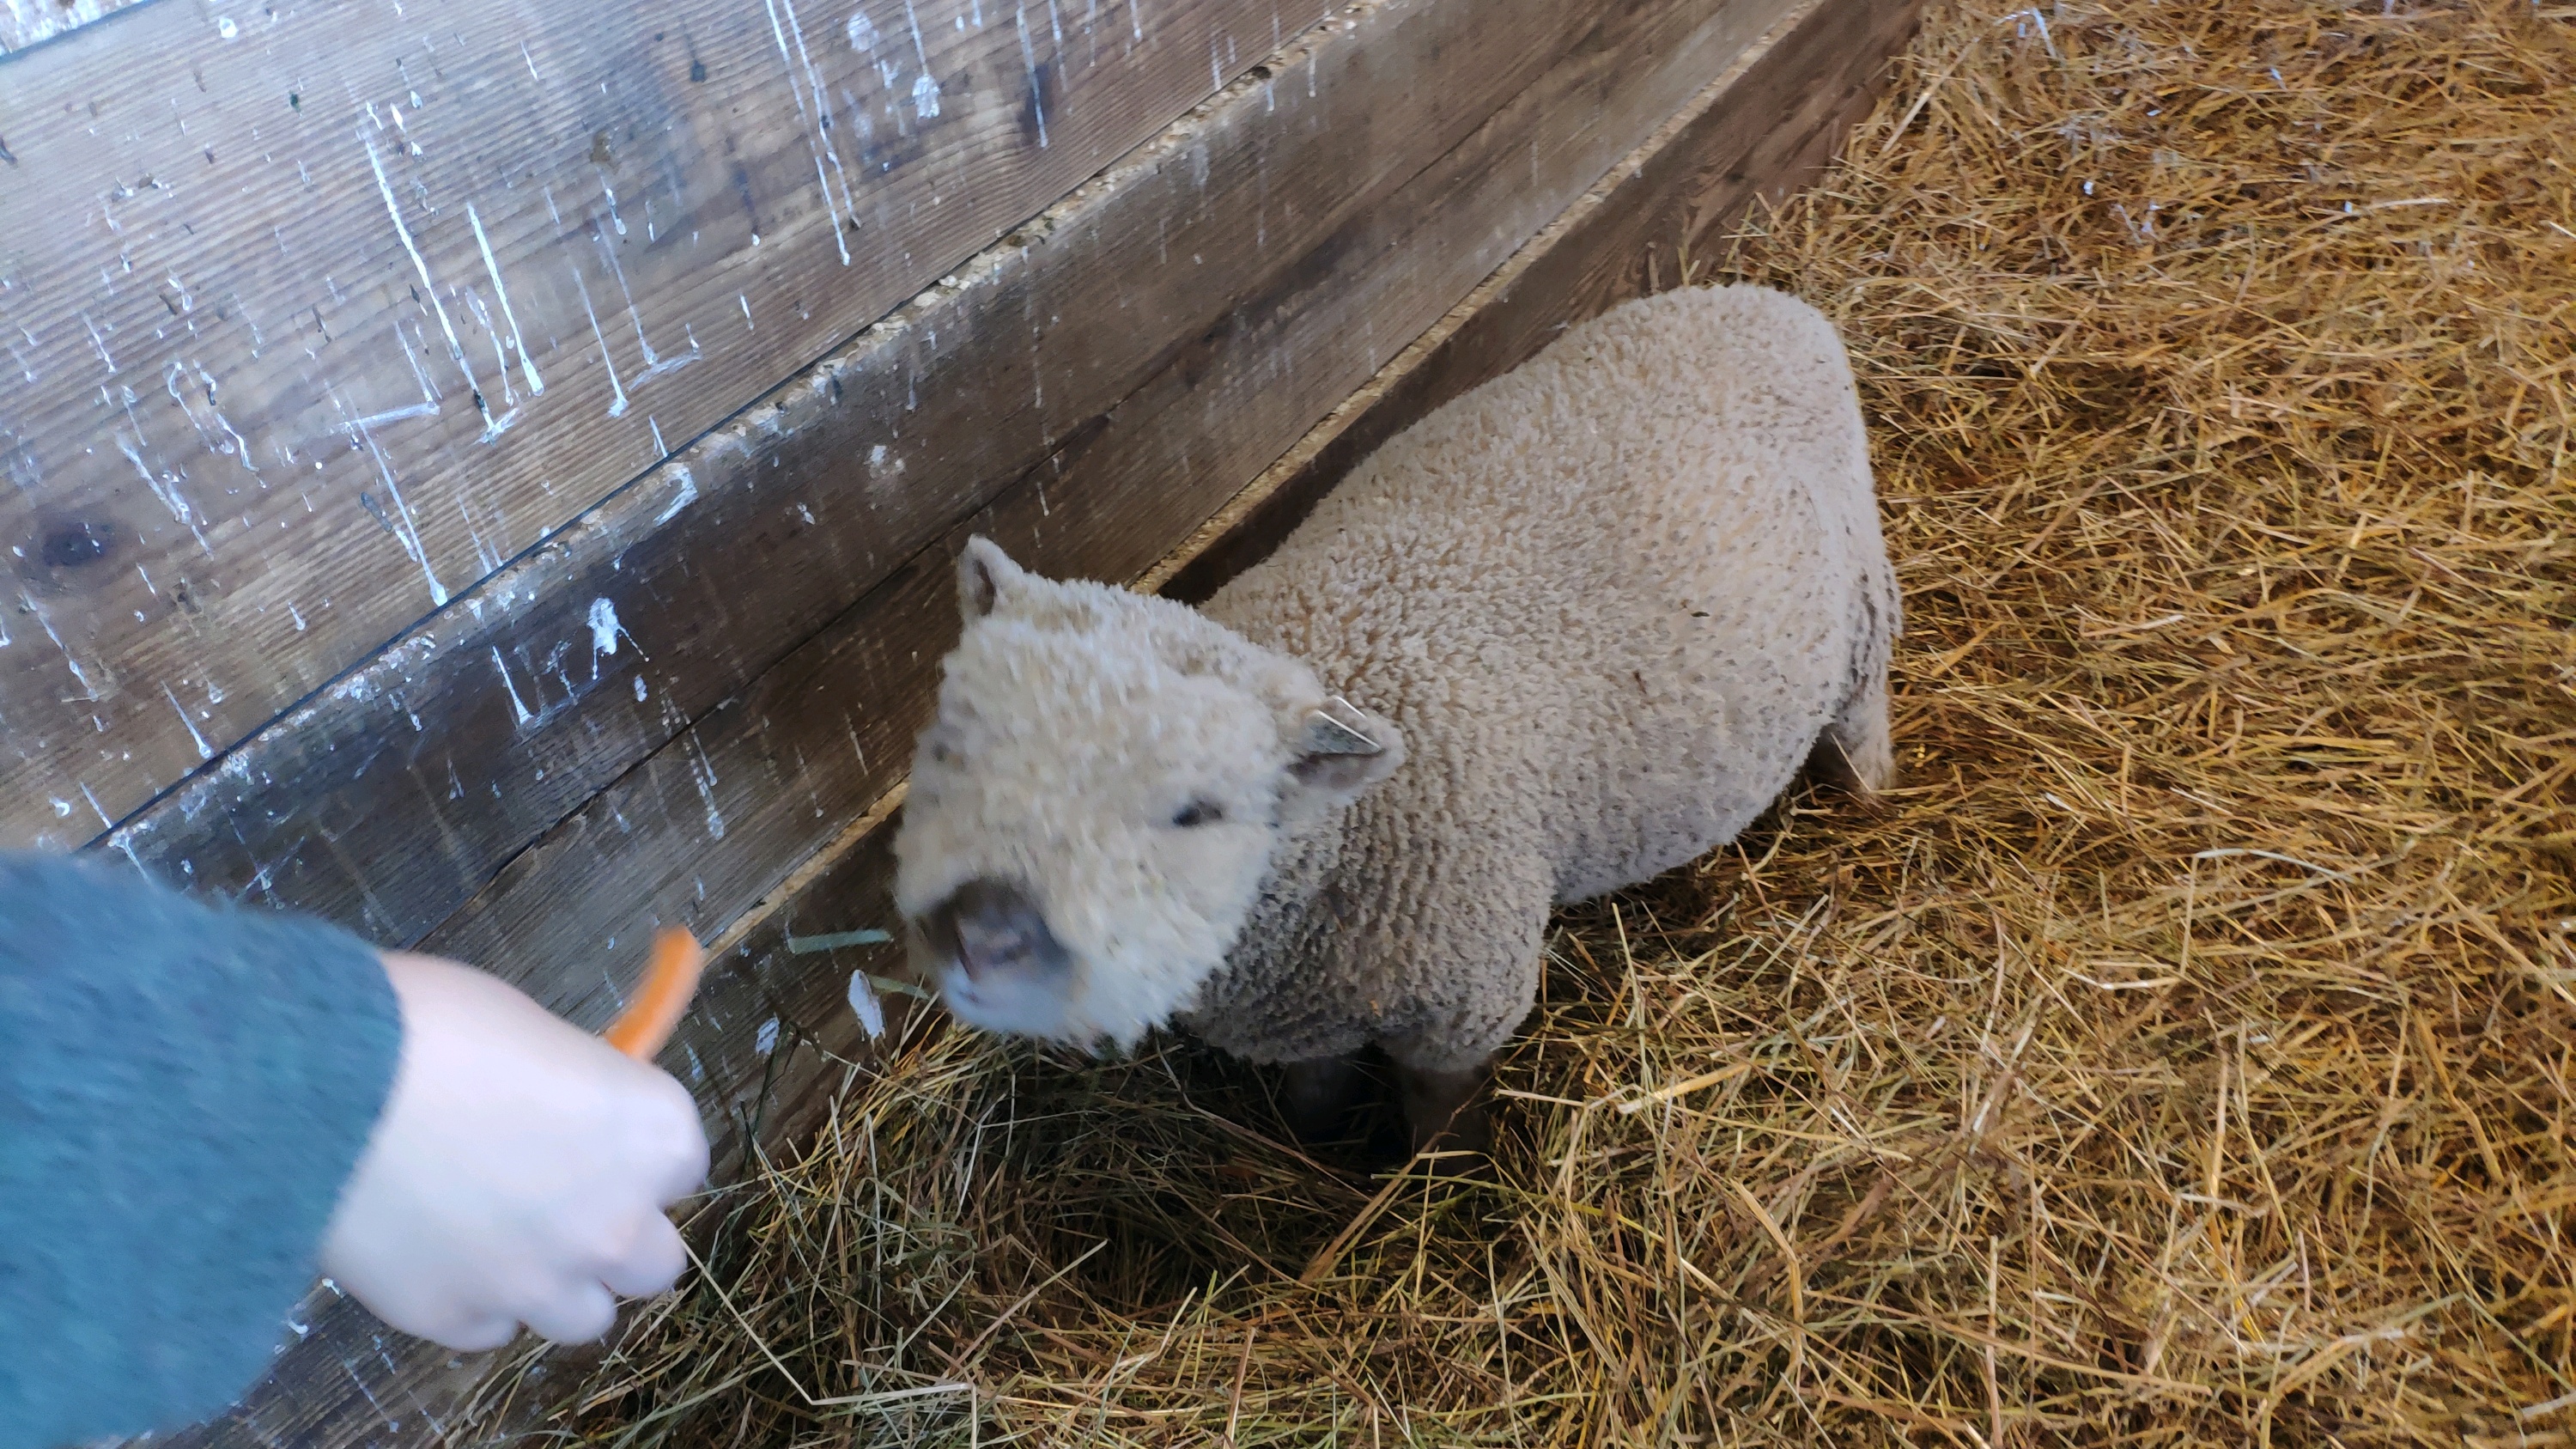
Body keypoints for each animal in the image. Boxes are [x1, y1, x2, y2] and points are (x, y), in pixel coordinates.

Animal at [886, 284, 1896, 1149]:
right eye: (959, 740)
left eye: (1195, 812)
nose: (979, 935)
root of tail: (1767, 300)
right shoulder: (1303, 1020)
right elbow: (1316, 1092)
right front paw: (1321, 1147)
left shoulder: (1464, 1005)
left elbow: (1438, 1107)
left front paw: (1432, 1177)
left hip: (1861, 604)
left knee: (1861, 712)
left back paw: (1867, 794)